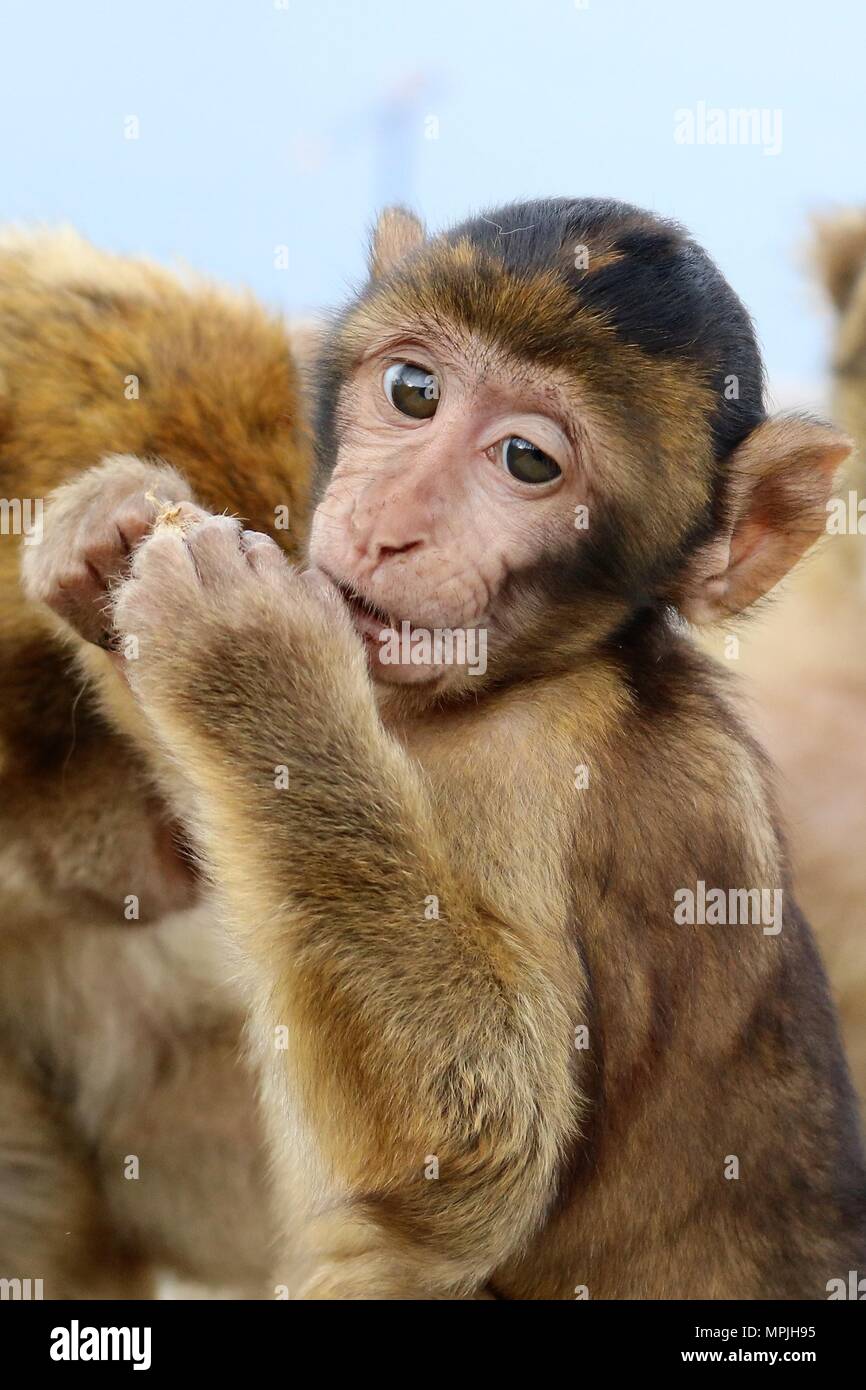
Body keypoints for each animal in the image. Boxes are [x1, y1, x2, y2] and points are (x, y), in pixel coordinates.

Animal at [105, 199, 866, 1299]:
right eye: (412, 392)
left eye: (527, 462)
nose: (388, 525)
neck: (520, 675)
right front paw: (95, 535)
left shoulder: (535, 770)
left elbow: (479, 1144)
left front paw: (248, 656)